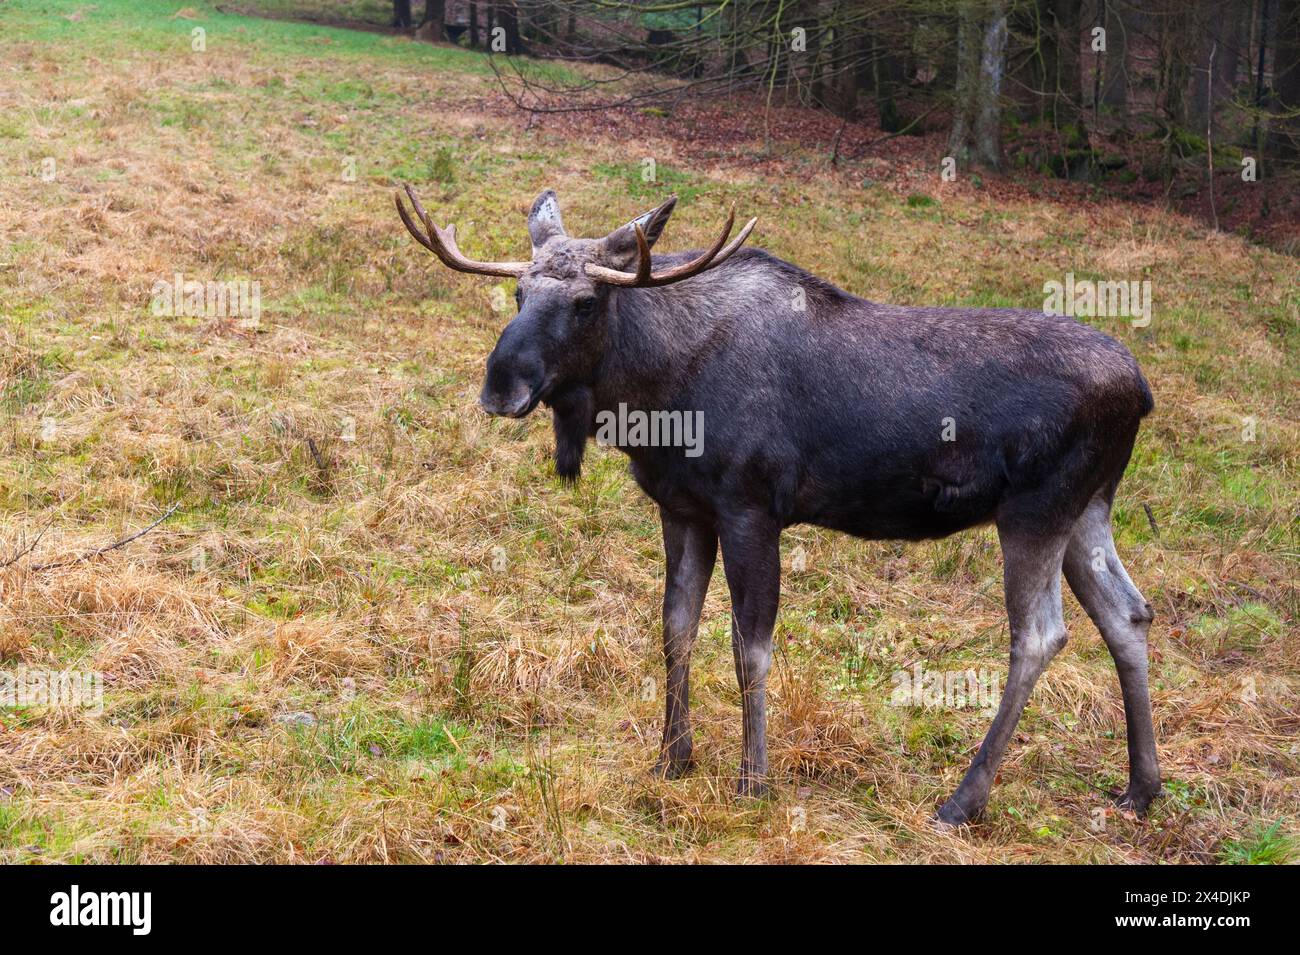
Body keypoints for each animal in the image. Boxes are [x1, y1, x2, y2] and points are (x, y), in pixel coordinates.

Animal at [392, 187, 1159, 831]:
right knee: (1128, 613)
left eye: (585, 302)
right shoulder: (683, 508)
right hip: (1089, 508)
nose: (501, 385)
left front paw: (752, 779)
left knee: (1040, 634)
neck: (654, 394)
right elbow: (675, 627)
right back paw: (1141, 787)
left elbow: (749, 648)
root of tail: (1142, 390)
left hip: (1035, 509)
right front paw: (673, 757)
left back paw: (962, 801)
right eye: (518, 291)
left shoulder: (750, 509)